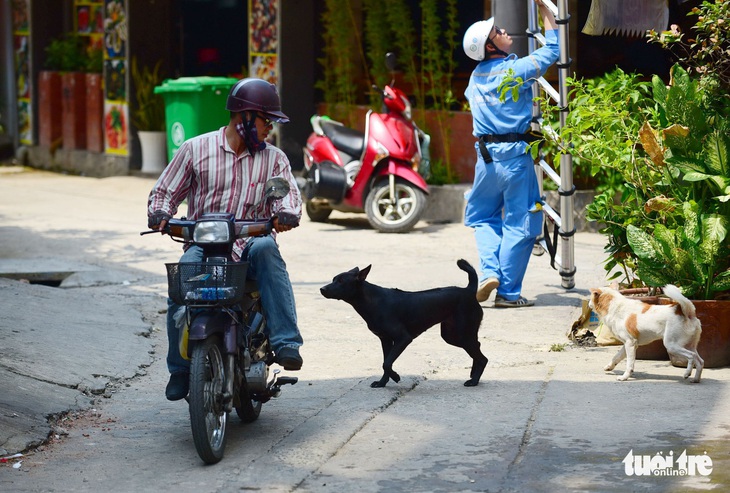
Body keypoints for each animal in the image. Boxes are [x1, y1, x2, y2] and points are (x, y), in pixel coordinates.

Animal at [320, 260, 486, 386]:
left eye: (341, 281)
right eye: (333, 279)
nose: (322, 289)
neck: (372, 300)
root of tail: (469, 290)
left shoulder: (403, 338)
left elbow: (387, 363)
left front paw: (395, 377)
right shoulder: (385, 340)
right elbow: (386, 362)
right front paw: (382, 382)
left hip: (461, 335)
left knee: (483, 358)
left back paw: (474, 381)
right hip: (452, 336)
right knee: (477, 347)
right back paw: (473, 374)